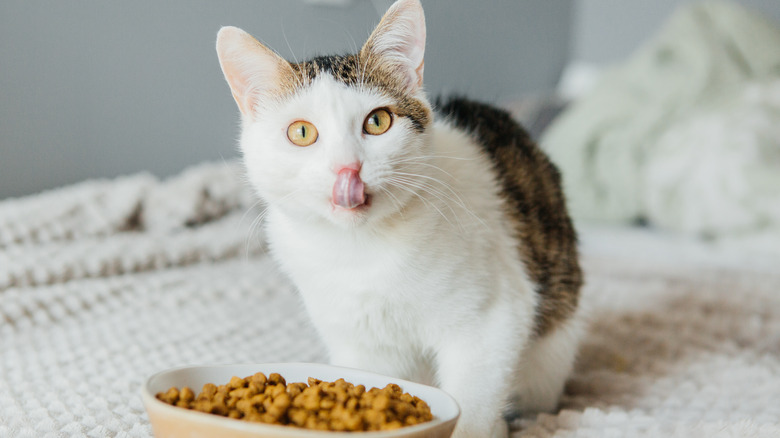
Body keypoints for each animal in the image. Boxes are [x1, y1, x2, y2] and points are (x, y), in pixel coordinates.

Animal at [216, 1, 580, 436]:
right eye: (301, 132)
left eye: (377, 122)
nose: (348, 169)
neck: (363, 250)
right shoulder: (361, 345)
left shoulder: (493, 318)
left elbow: (474, 399)